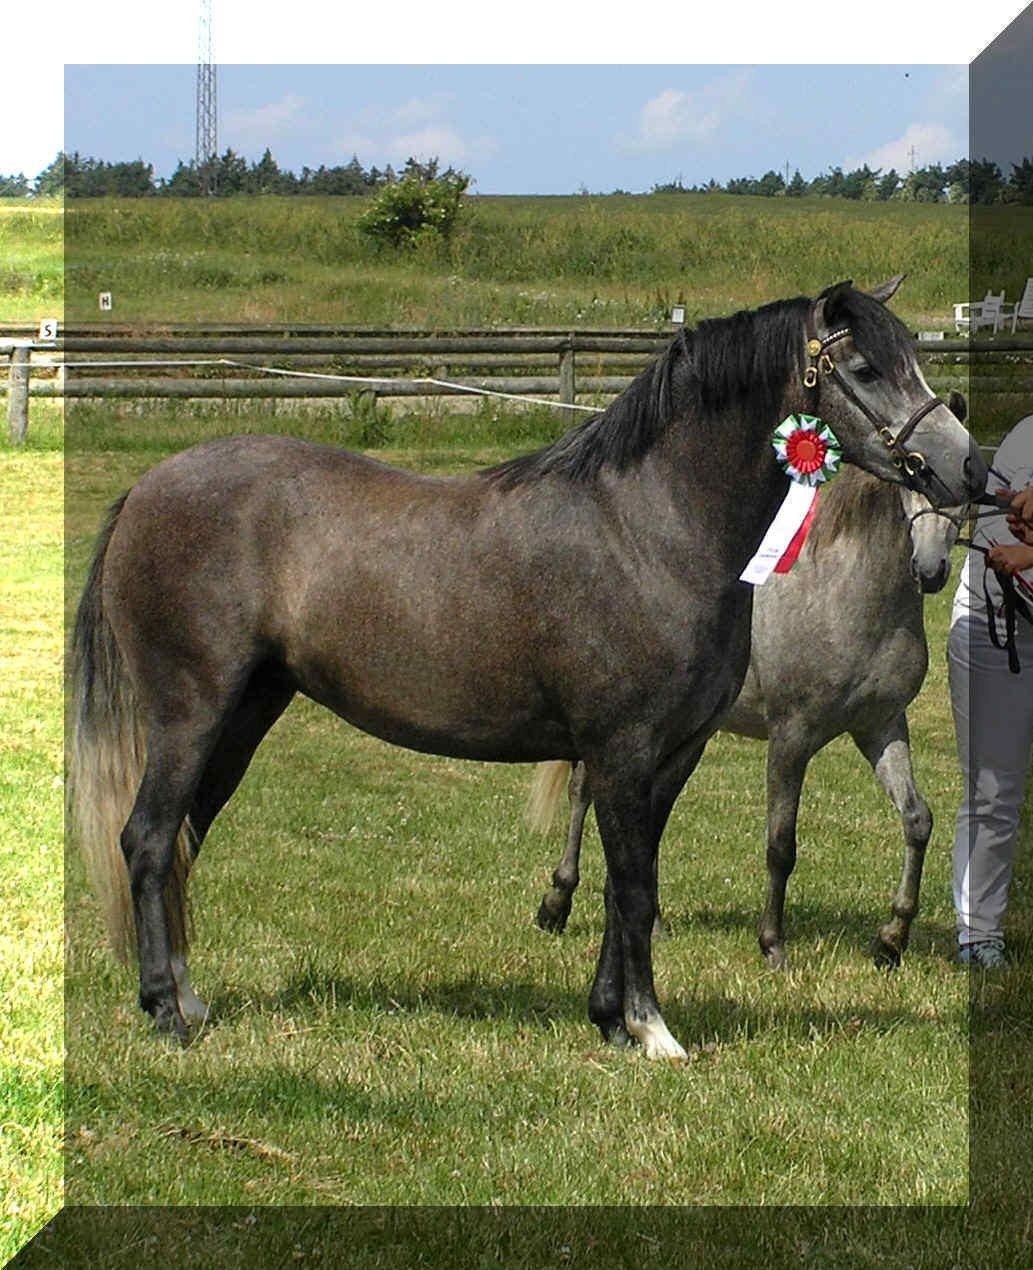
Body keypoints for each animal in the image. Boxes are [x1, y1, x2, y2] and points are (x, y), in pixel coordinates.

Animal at [529, 443, 967, 969]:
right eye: (916, 473)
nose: (931, 570)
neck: (841, 593)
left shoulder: (880, 727)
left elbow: (917, 820)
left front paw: (891, 939)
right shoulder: (792, 737)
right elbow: (781, 844)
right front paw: (772, 943)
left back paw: (651, 924)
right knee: (583, 792)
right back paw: (556, 904)